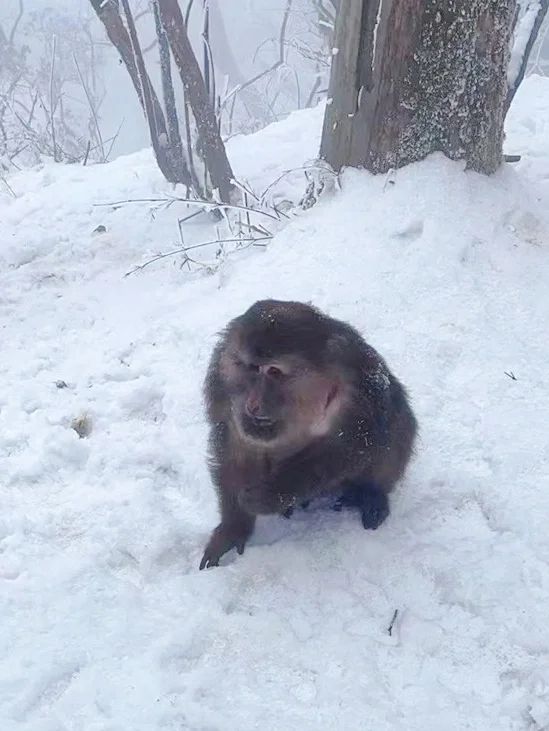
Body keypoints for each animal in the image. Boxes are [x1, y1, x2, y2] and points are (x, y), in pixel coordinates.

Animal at [199, 300, 418, 568]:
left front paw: (269, 496)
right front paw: (233, 529)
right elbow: (236, 445)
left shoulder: (359, 387)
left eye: (273, 371)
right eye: (252, 368)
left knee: (397, 424)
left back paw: (370, 494)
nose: (253, 403)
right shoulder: (222, 377)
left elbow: (352, 445)